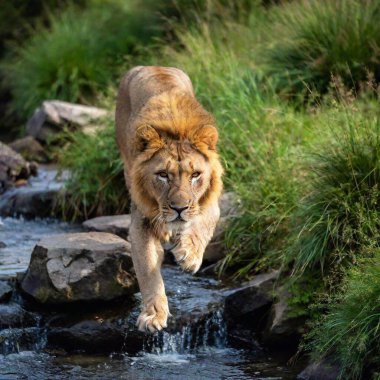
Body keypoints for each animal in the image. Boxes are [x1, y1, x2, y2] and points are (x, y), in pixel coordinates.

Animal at [115, 66, 223, 332]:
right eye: (163, 175)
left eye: (195, 175)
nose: (179, 208)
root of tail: (151, 66)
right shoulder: (141, 220)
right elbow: (147, 269)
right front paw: (153, 315)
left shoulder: (210, 202)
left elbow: (203, 224)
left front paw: (189, 255)